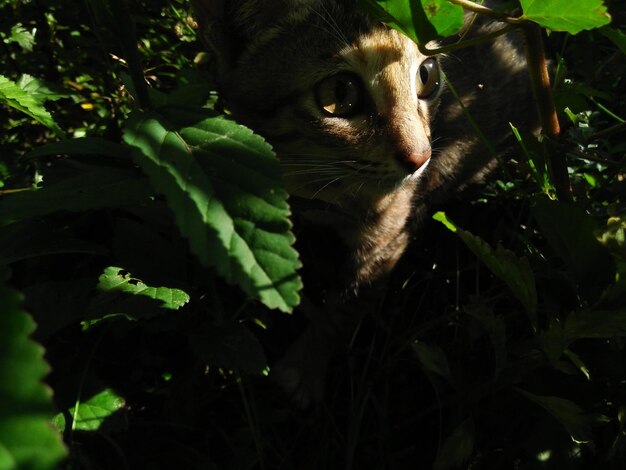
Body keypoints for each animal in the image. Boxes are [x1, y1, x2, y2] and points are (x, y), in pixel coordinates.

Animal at [191, 0, 536, 404]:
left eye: (428, 75)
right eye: (339, 93)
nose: (421, 157)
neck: (316, 186)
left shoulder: (388, 235)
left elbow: (344, 307)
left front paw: (307, 365)